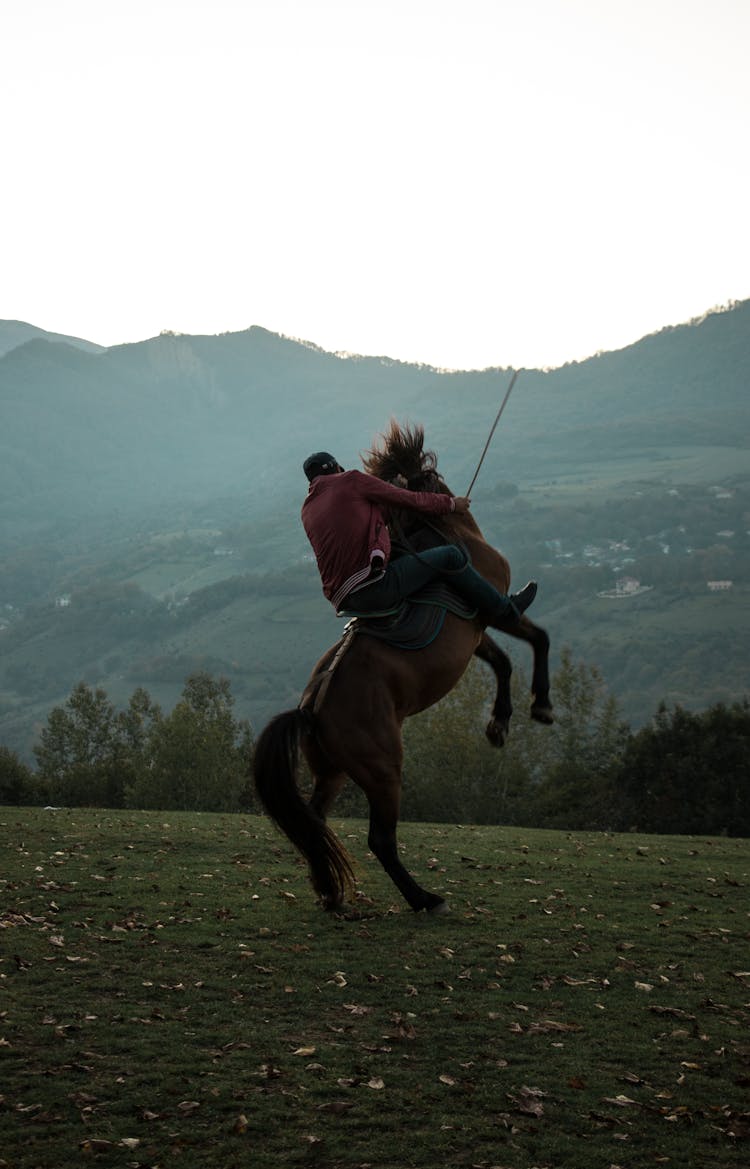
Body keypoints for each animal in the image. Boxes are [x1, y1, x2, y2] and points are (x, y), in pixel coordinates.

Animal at [251, 420, 549, 911]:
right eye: (431, 474)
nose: (451, 494)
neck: (448, 534)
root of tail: (310, 710)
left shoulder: (473, 633)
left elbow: (503, 663)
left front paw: (499, 725)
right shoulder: (488, 612)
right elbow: (535, 637)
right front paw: (541, 705)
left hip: (331, 772)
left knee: (313, 823)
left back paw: (329, 892)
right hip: (383, 771)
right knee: (380, 840)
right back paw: (423, 898)